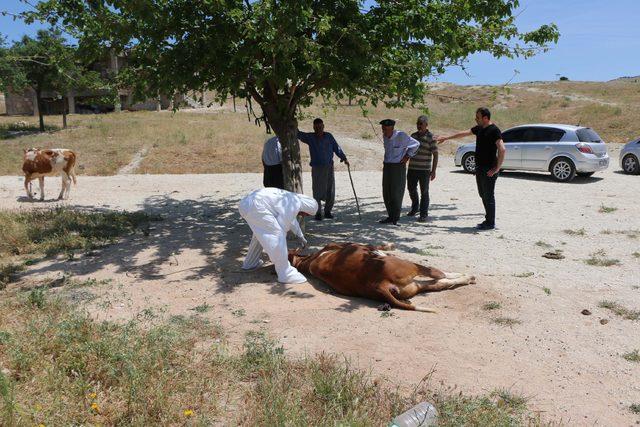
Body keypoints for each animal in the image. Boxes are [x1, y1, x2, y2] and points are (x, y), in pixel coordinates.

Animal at [290, 244, 476, 310]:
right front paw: (384, 249)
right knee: (439, 274)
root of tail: (379, 284)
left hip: (414, 286)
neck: (309, 262)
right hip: (413, 267)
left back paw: (465, 279)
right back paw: (467, 276)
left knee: (440, 283)